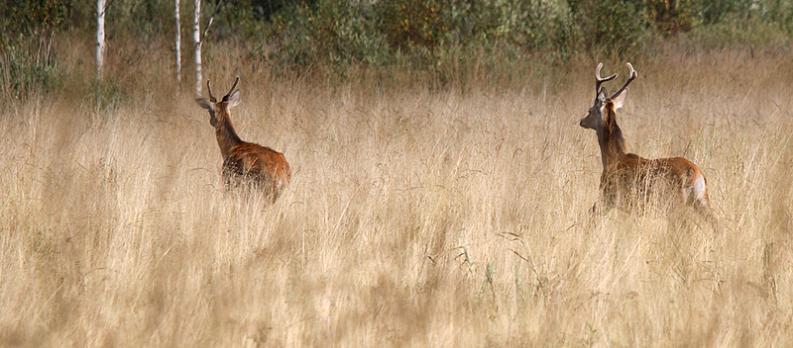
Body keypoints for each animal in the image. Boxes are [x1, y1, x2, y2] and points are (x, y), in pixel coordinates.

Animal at [576, 62, 716, 228]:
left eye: (590, 110)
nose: (582, 121)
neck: (612, 158)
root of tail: (696, 174)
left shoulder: (609, 195)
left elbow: (590, 216)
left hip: (674, 202)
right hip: (702, 200)